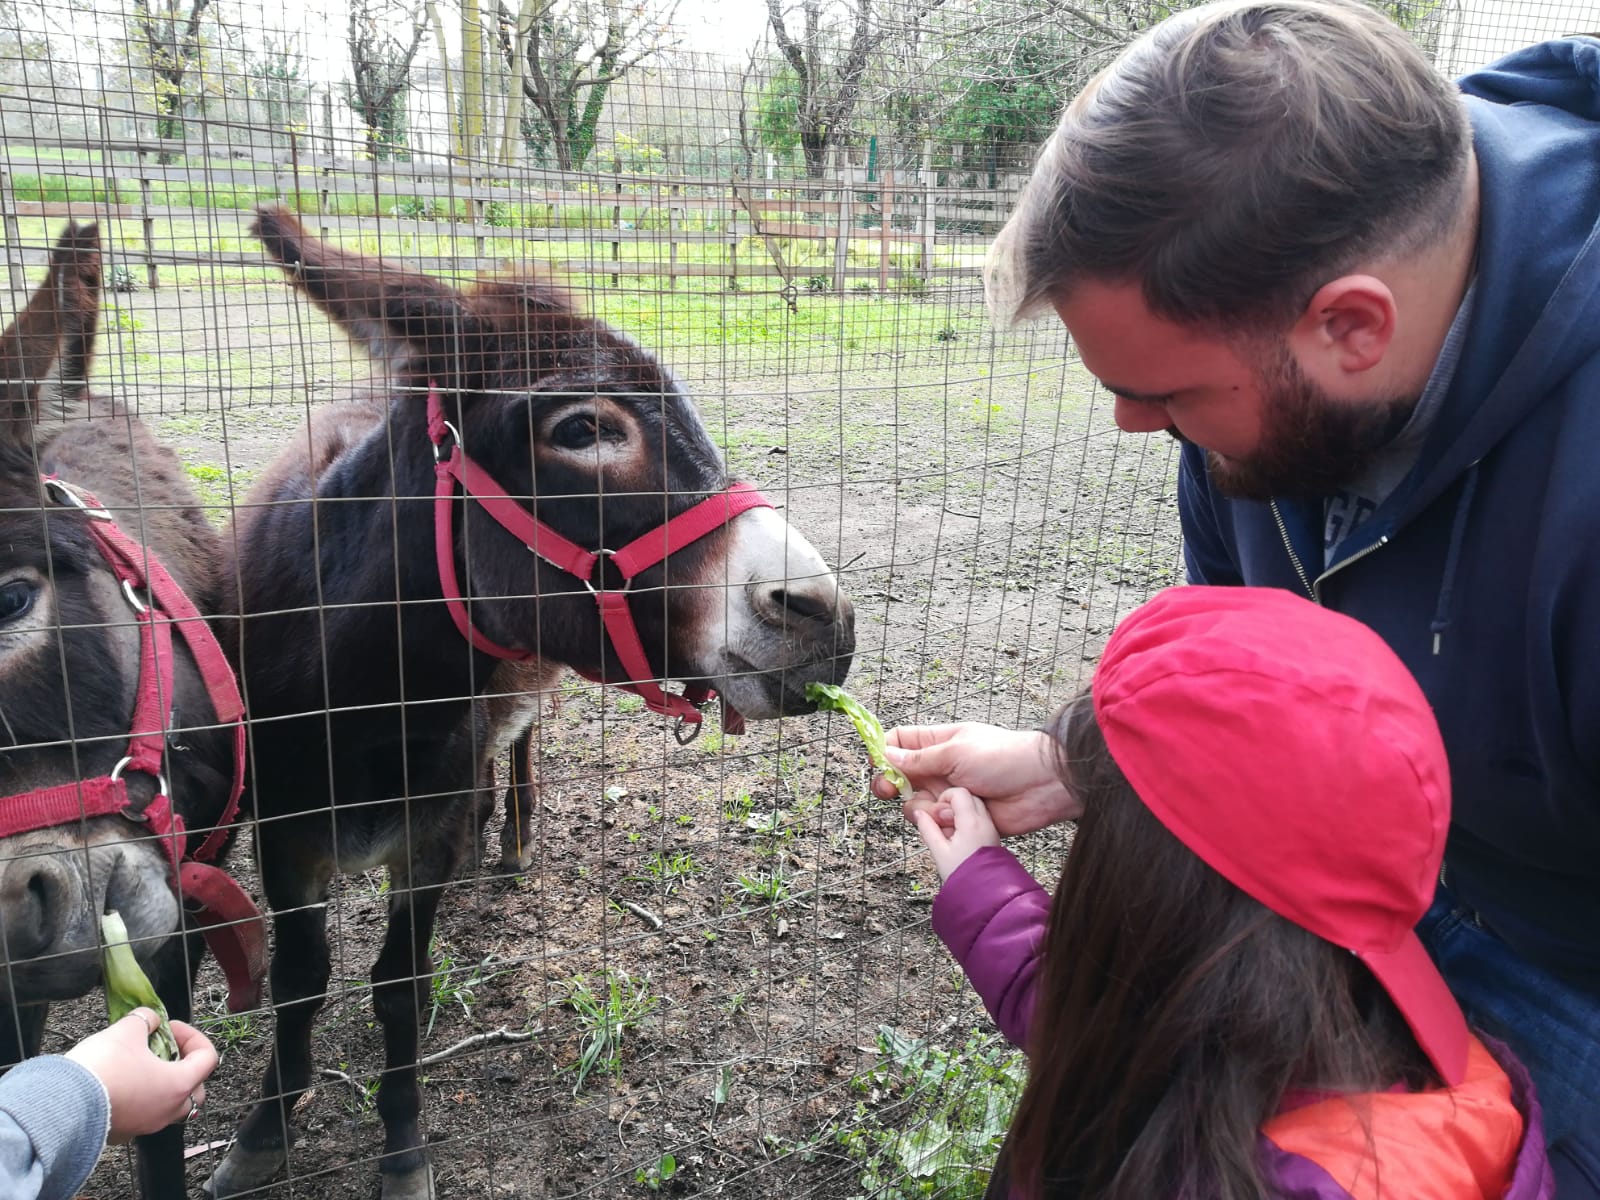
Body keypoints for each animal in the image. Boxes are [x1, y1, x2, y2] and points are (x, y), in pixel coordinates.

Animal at [205, 206, 856, 1199]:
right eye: (584, 428)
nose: (826, 616)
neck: (369, 701)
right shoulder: (284, 833)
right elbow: (302, 976)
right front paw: (264, 1129)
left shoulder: (422, 837)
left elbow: (396, 983)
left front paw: (402, 1146)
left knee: (515, 757)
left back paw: (507, 842)